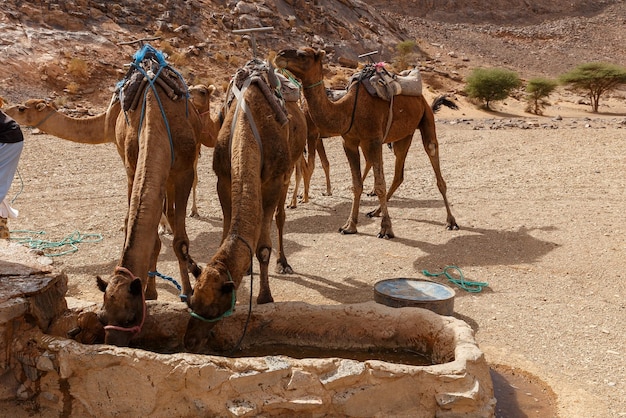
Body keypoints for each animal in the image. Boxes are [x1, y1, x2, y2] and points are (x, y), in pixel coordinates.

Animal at [182, 58, 306, 352]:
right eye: (191, 302)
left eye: (214, 309)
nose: (189, 341)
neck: (248, 136)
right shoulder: (224, 178)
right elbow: (228, 231)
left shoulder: (273, 181)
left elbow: (263, 247)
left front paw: (265, 296)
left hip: (288, 170)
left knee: (280, 218)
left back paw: (284, 263)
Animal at [276, 47, 456, 237]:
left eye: (303, 54)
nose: (279, 55)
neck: (346, 109)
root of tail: (422, 97)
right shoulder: (349, 142)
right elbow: (356, 185)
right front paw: (349, 226)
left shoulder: (373, 140)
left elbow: (379, 184)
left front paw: (386, 228)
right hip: (403, 136)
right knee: (398, 174)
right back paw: (375, 211)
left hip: (426, 119)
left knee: (433, 159)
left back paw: (451, 221)